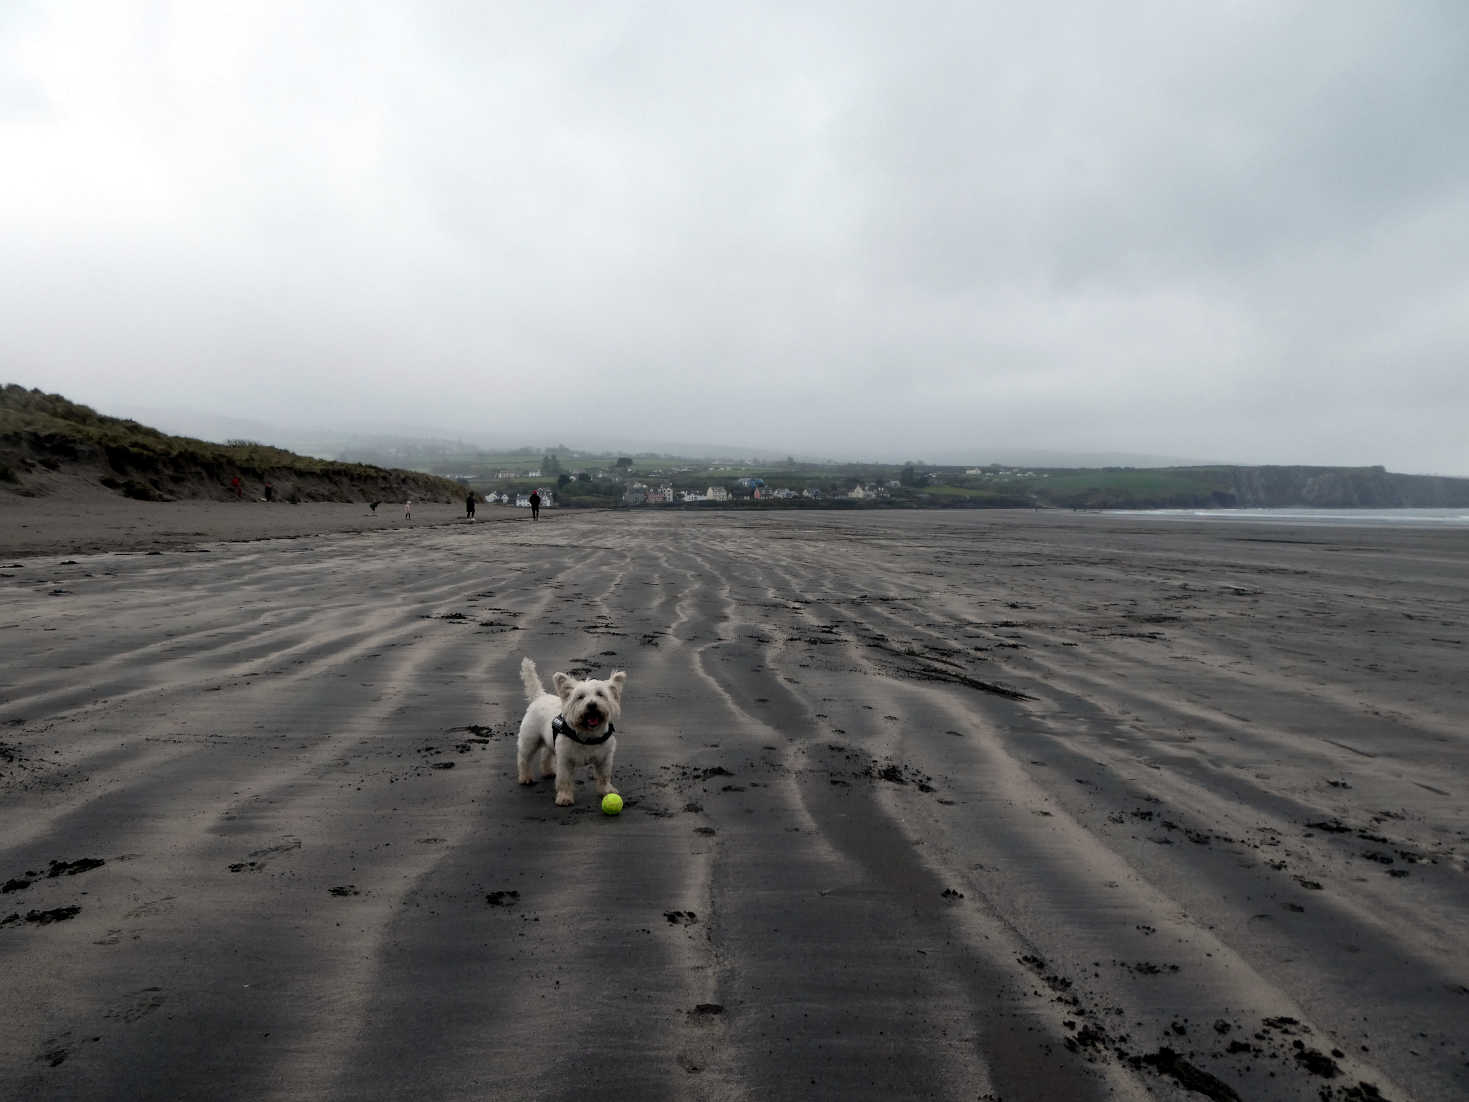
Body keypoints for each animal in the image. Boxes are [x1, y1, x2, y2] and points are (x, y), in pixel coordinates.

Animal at [517, 661, 625, 805]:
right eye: (580, 697)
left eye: (600, 694)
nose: (592, 705)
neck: (588, 735)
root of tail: (540, 696)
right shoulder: (565, 760)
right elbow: (565, 779)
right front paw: (564, 798)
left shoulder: (605, 758)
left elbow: (604, 776)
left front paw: (607, 791)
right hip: (530, 739)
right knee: (524, 758)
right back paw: (525, 777)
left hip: (549, 739)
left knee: (546, 753)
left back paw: (547, 771)